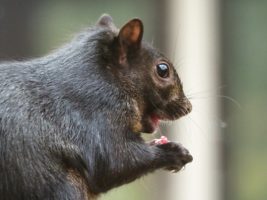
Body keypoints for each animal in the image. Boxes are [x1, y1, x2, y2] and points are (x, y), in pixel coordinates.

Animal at [0, 14, 193, 200]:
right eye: (163, 69)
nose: (188, 107)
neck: (107, 79)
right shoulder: (98, 116)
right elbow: (115, 162)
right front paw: (176, 153)